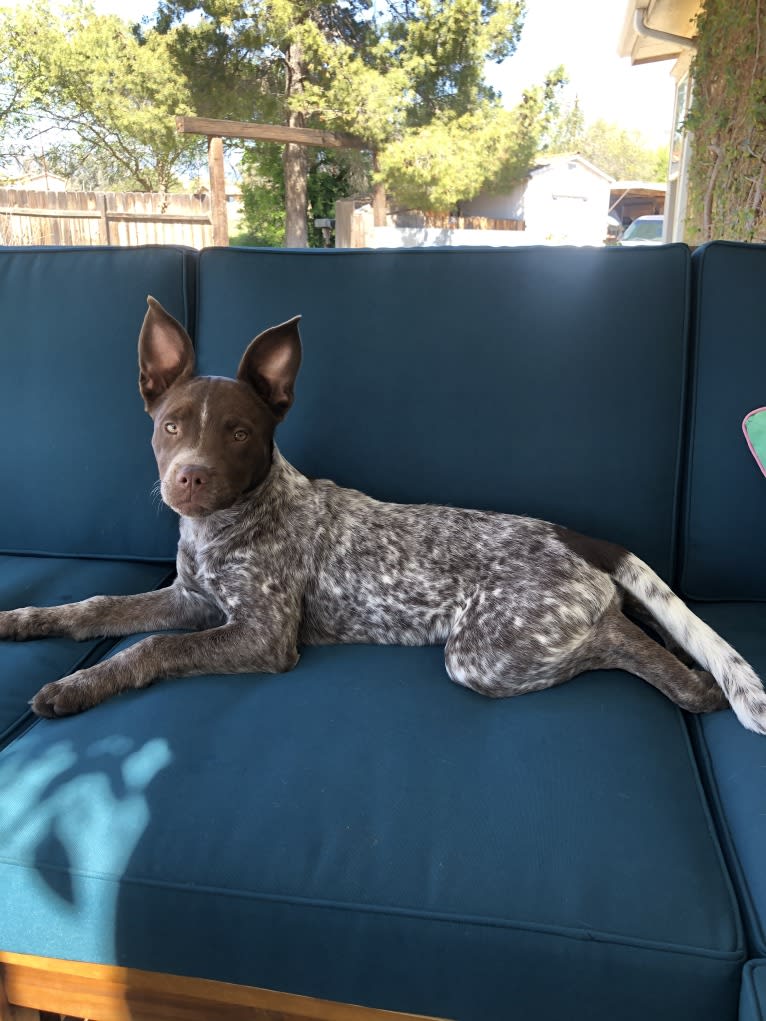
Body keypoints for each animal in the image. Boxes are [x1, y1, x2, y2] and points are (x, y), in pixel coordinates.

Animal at [6, 296, 766, 735]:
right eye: (169, 426)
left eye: (240, 433)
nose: (187, 477)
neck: (226, 524)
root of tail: (578, 537)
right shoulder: (191, 599)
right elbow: (98, 607)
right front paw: (26, 620)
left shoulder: (259, 636)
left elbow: (149, 649)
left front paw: (75, 687)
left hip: (485, 652)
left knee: (636, 652)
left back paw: (694, 680)